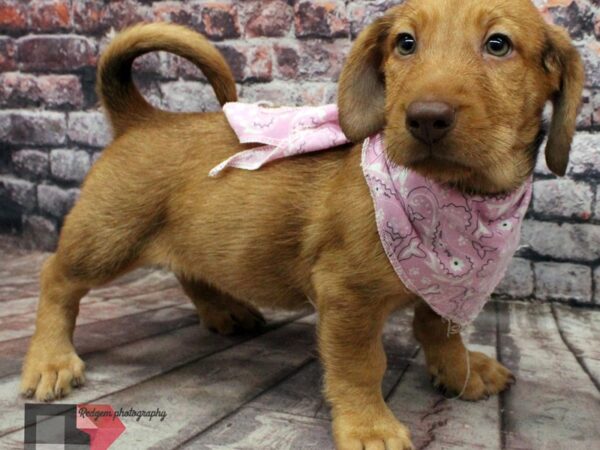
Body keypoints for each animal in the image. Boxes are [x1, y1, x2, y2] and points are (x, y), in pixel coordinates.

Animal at [21, 1, 584, 448]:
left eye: (498, 44)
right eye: (405, 43)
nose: (424, 118)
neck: (455, 199)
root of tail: (143, 118)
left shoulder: (446, 285)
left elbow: (438, 327)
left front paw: (459, 369)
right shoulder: (346, 295)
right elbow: (361, 366)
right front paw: (369, 426)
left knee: (190, 270)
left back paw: (224, 311)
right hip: (107, 239)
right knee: (56, 280)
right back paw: (50, 358)